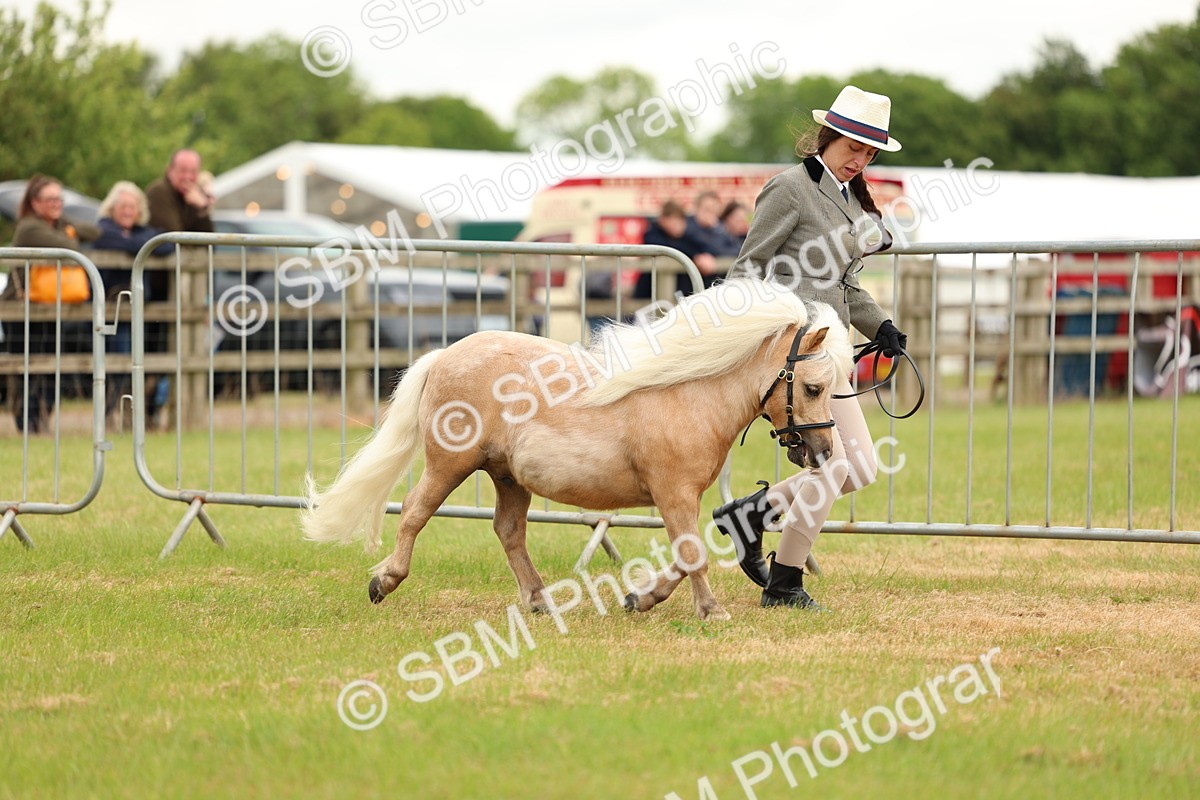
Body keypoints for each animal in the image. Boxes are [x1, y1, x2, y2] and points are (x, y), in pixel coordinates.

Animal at [302, 278, 853, 620]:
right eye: (812, 387)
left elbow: (683, 556)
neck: (688, 392)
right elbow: (691, 553)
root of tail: (443, 356)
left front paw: (641, 598)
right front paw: (710, 610)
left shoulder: (680, 497)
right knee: (415, 512)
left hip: (507, 476)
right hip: (449, 464)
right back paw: (385, 581)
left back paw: (540, 600)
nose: (824, 453)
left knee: (509, 531)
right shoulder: (674, 493)